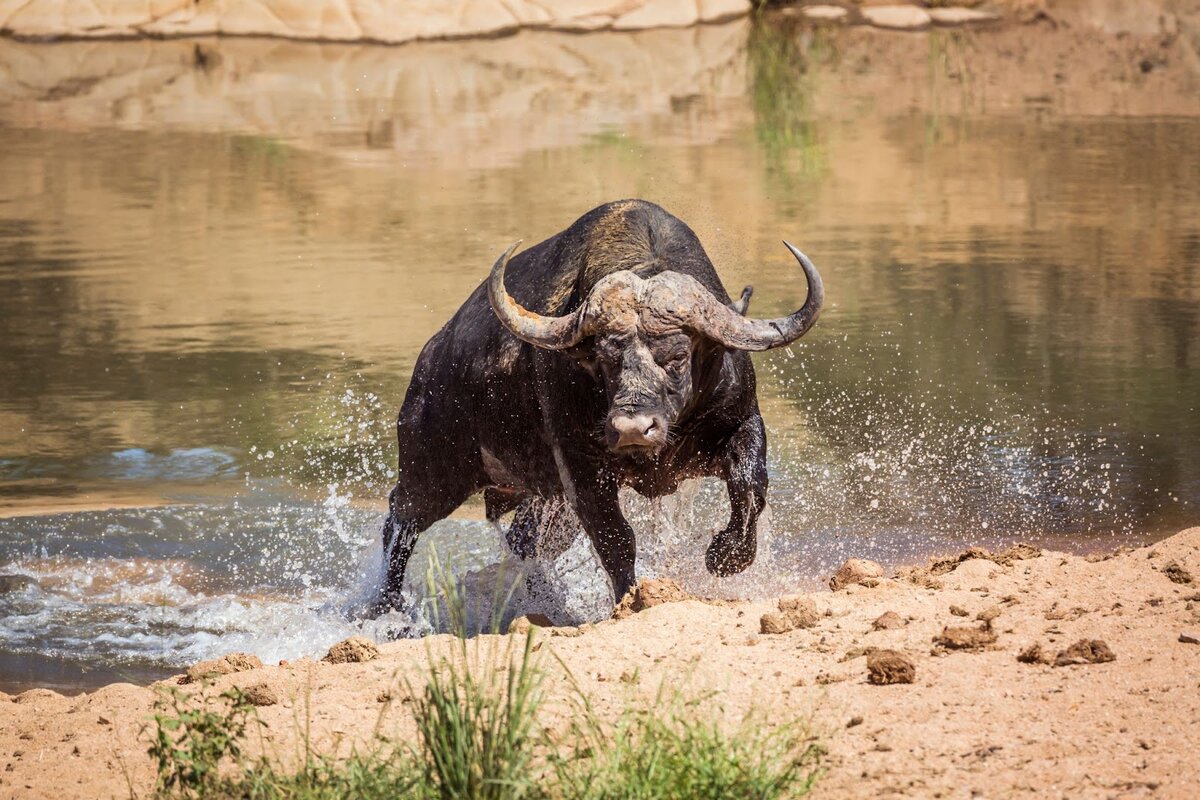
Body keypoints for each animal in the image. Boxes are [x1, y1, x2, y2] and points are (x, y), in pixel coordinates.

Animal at [379, 200, 820, 614]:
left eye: (678, 356)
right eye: (605, 359)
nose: (632, 429)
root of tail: (431, 359)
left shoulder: (741, 421)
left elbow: (750, 486)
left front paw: (726, 556)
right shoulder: (580, 466)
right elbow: (614, 538)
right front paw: (631, 598)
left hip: (541, 498)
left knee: (525, 542)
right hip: (434, 472)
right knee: (400, 522)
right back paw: (386, 607)